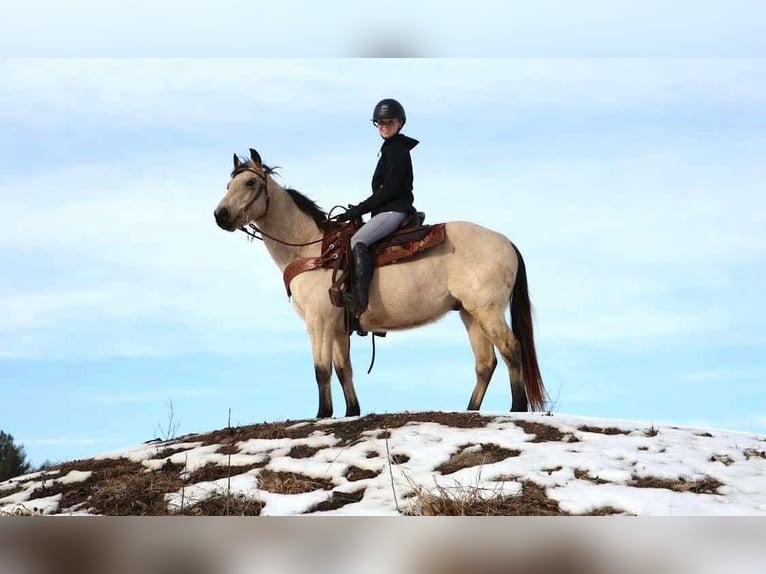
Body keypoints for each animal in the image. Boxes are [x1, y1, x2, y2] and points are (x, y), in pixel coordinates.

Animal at [214, 148, 547, 418]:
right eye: (228, 185)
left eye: (250, 183)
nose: (221, 215)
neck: (313, 250)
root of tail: (506, 242)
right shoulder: (338, 326)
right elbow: (343, 369)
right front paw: (351, 412)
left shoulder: (318, 321)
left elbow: (321, 370)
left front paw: (323, 414)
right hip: (470, 313)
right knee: (485, 363)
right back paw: (470, 410)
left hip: (488, 311)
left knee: (511, 350)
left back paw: (517, 408)